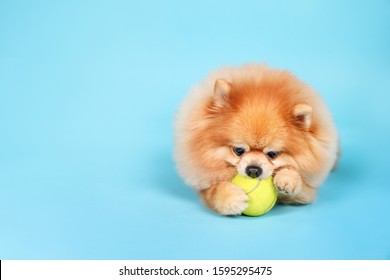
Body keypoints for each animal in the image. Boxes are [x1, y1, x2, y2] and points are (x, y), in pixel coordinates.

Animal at [174, 64, 338, 215]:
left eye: (273, 154)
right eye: (238, 150)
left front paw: (288, 178)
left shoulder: (305, 195)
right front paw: (230, 197)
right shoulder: (204, 182)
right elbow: (213, 192)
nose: (253, 170)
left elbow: (297, 183)